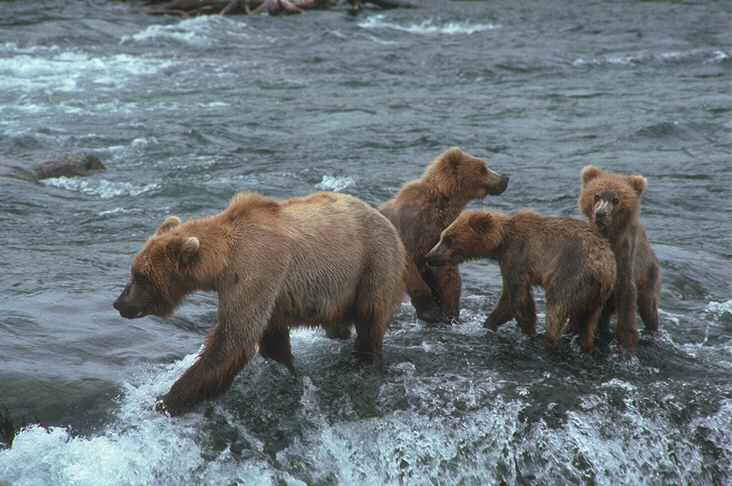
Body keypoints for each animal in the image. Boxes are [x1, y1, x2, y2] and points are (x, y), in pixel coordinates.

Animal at [114, 192, 406, 416]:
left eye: (140, 276)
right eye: (134, 272)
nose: (119, 303)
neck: (222, 263)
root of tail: (385, 218)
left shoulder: (256, 270)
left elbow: (233, 339)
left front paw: (165, 400)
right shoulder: (270, 294)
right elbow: (272, 339)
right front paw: (287, 369)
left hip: (373, 263)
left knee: (370, 319)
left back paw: (365, 362)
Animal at [378, 147, 508, 322]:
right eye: (483, 168)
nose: (505, 179)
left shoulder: (440, 236)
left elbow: (448, 274)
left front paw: (449, 310)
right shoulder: (412, 229)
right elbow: (410, 266)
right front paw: (430, 310)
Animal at [424, 210, 616, 354]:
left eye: (448, 238)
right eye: (442, 236)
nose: (429, 256)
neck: (501, 242)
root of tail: (605, 268)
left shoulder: (517, 258)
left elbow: (519, 300)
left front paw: (529, 331)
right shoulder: (507, 264)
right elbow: (506, 300)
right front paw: (489, 324)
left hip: (571, 273)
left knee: (557, 306)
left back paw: (547, 340)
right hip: (596, 296)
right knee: (588, 321)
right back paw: (585, 344)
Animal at [580, 167, 660, 354]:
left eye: (615, 199)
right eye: (596, 196)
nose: (600, 214)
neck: (608, 236)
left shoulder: (624, 257)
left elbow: (627, 295)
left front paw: (625, 343)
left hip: (648, 273)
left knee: (648, 306)